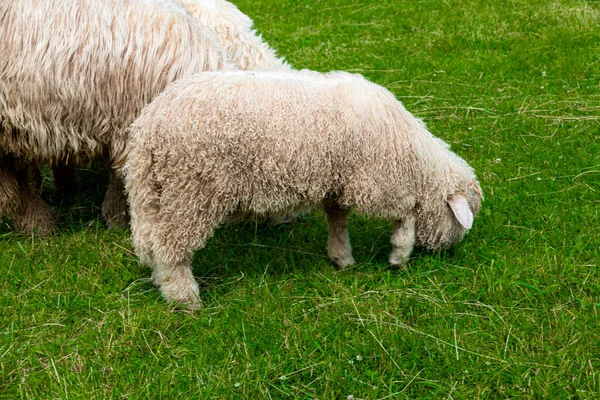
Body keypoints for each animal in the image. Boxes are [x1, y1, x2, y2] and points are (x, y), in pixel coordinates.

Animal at [125, 69, 482, 306]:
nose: (449, 252)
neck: (412, 155)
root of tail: (150, 125)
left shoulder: (338, 182)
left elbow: (338, 219)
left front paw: (342, 256)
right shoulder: (375, 183)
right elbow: (406, 212)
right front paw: (400, 253)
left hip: (154, 191)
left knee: (151, 239)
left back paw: (160, 279)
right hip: (193, 190)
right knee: (170, 244)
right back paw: (183, 296)